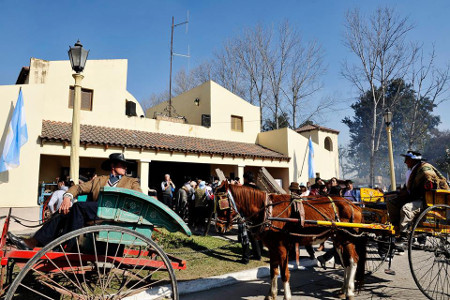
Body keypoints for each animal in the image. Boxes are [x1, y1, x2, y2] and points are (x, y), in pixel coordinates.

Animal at [214, 180, 366, 300]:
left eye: (222, 203)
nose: (218, 227)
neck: (269, 212)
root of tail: (354, 205)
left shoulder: (281, 248)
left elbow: (284, 273)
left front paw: (286, 296)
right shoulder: (273, 248)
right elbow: (273, 271)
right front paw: (271, 295)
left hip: (347, 238)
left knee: (353, 261)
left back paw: (349, 291)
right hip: (338, 239)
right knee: (345, 263)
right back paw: (343, 289)